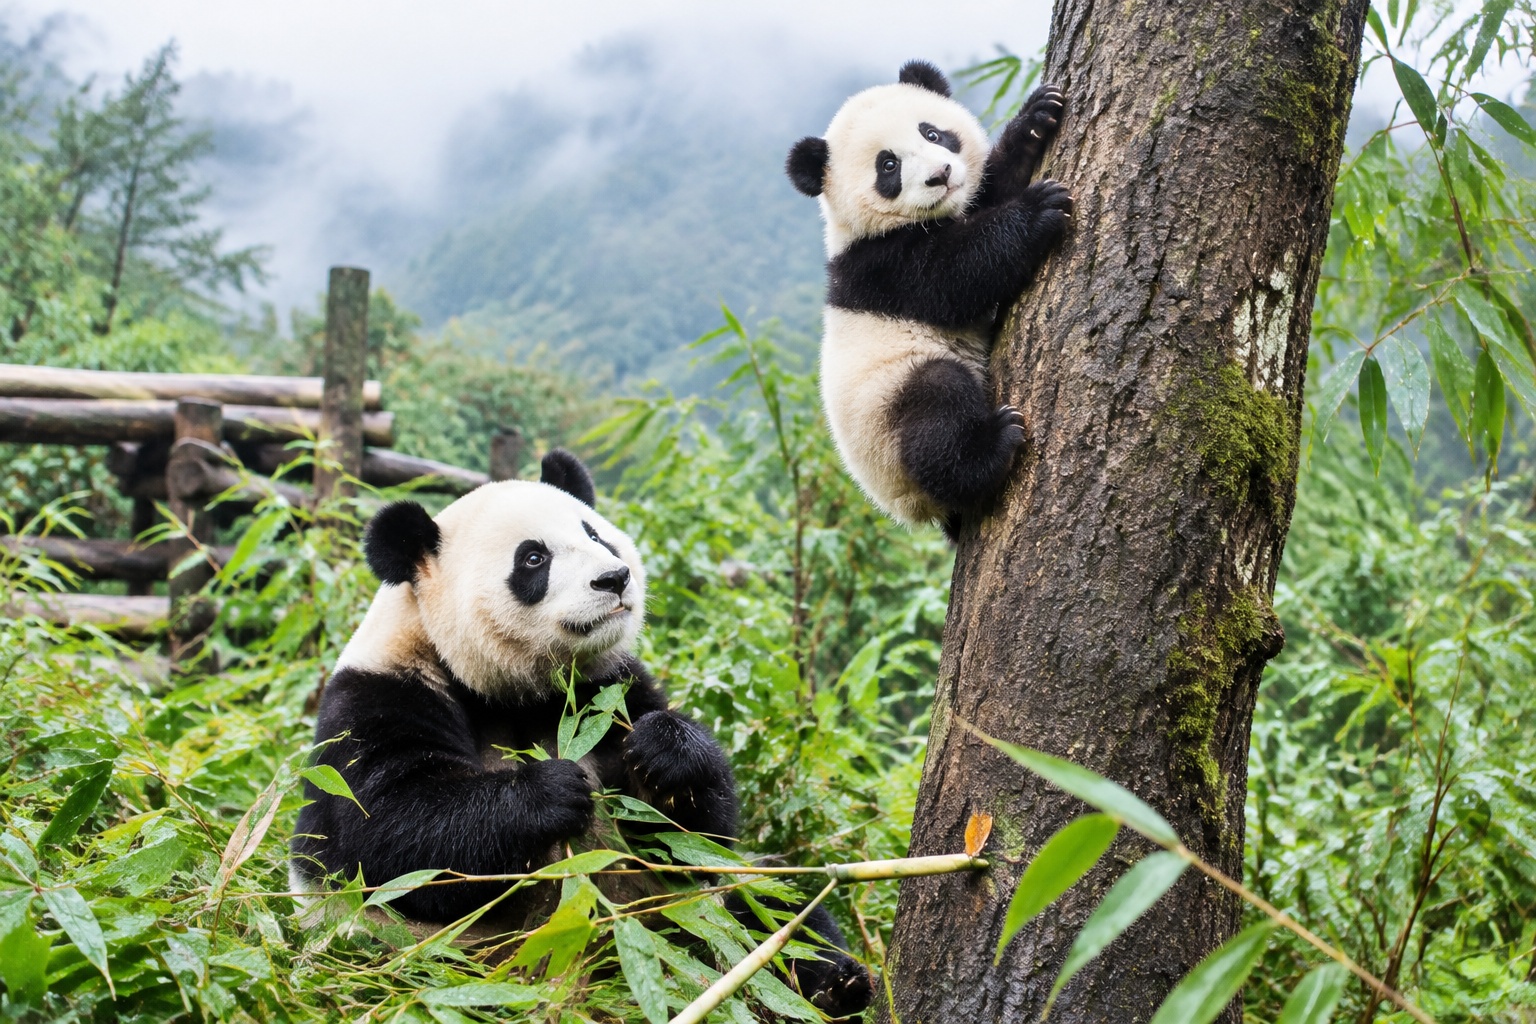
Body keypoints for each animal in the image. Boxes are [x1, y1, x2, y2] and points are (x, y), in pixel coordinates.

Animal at [290, 450, 871, 1018]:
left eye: (596, 535)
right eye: (533, 559)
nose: (614, 578)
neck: (515, 690)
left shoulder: (608, 690)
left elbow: (693, 838)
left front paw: (666, 752)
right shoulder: (378, 698)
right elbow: (390, 842)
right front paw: (550, 793)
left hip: (688, 913)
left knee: (771, 905)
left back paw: (835, 981)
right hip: (446, 963)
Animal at [786, 60, 1073, 537]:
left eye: (933, 133)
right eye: (888, 166)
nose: (941, 175)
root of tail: (911, 509)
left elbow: (989, 190)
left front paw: (1036, 117)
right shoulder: (881, 267)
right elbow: (959, 272)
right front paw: (1039, 210)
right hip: (889, 415)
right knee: (937, 412)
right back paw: (992, 447)